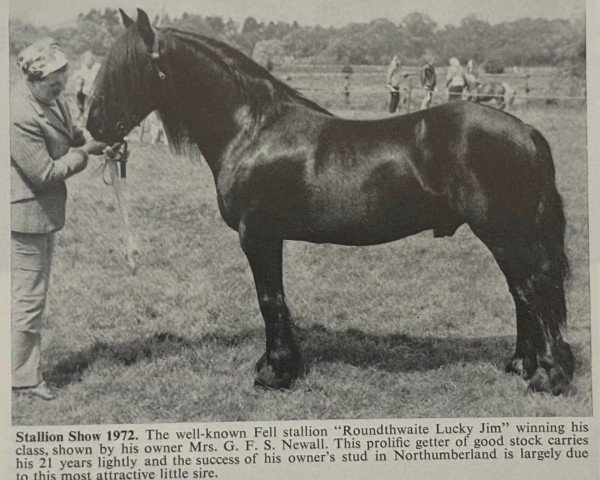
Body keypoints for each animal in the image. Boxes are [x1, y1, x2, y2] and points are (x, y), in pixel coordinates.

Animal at [86, 9, 576, 396]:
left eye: (125, 68)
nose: (93, 126)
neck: (252, 129)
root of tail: (528, 131)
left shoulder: (257, 235)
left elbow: (269, 299)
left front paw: (274, 373)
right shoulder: (268, 237)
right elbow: (277, 299)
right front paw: (281, 366)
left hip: (503, 231)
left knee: (534, 289)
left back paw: (547, 377)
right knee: (521, 292)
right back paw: (520, 365)